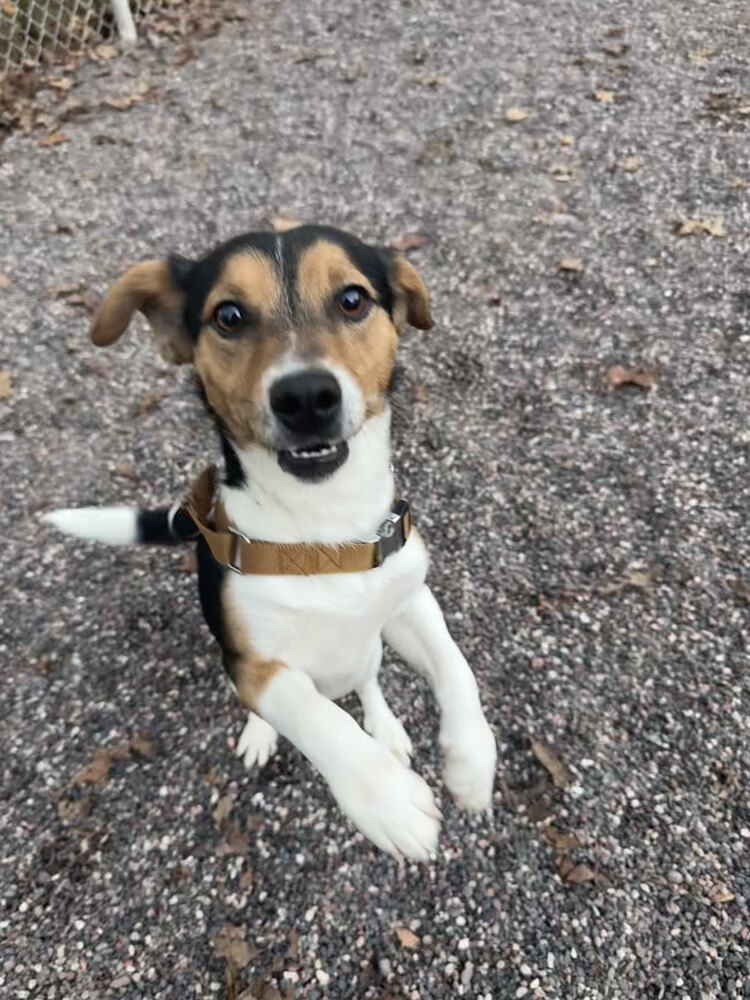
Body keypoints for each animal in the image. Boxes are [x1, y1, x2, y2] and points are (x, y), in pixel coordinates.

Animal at [44, 227, 496, 860]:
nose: (305, 396)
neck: (325, 526)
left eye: (352, 299)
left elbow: (456, 667)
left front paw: (472, 762)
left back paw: (386, 727)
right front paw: (385, 799)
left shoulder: (408, 600)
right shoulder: (255, 664)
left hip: (373, 649)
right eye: (228, 315)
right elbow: (311, 714)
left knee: (369, 682)